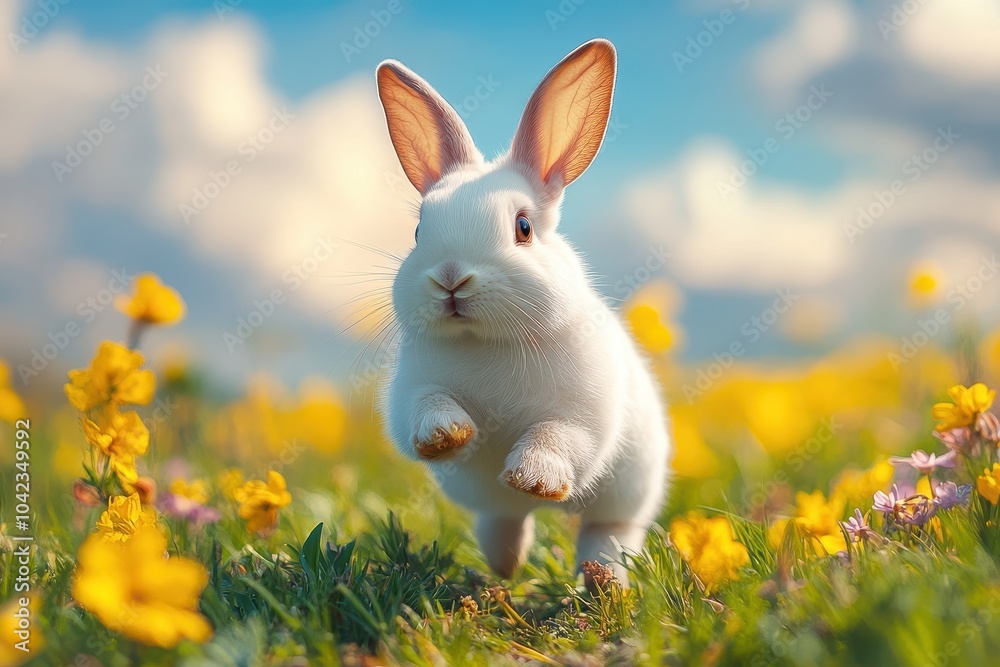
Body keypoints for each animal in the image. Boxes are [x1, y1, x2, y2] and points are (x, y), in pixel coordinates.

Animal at [374, 39, 671, 581]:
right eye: (418, 232)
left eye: (524, 227)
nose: (451, 278)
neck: (486, 340)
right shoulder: (412, 392)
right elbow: (425, 410)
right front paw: (448, 435)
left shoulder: (583, 416)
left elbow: (557, 436)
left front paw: (533, 477)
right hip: (494, 515)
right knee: (504, 524)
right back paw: (505, 569)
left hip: (622, 505)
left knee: (607, 536)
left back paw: (605, 584)